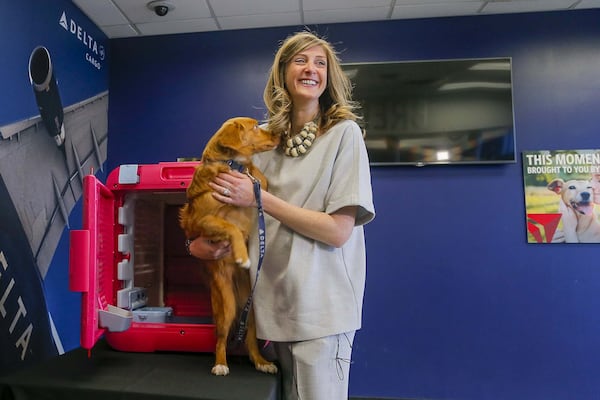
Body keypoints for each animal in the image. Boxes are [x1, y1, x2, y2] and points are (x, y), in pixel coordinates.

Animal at [179, 117, 280, 376]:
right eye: (254, 127)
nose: (279, 132)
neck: (234, 166)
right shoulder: (203, 222)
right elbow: (231, 227)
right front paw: (242, 257)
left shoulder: (257, 185)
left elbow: (260, 178)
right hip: (227, 306)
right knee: (221, 338)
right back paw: (221, 363)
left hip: (251, 311)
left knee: (250, 339)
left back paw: (261, 362)